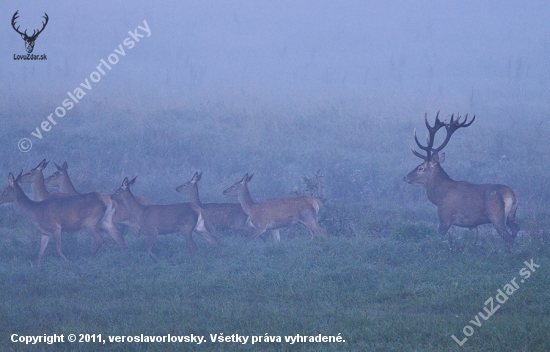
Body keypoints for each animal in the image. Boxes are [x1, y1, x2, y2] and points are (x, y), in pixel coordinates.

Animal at [404, 113, 520, 245]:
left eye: (421, 168)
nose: (405, 177)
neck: (439, 196)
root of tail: (512, 195)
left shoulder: (445, 217)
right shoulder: (470, 224)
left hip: (496, 216)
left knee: (508, 237)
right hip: (511, 215)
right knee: (516, 227)